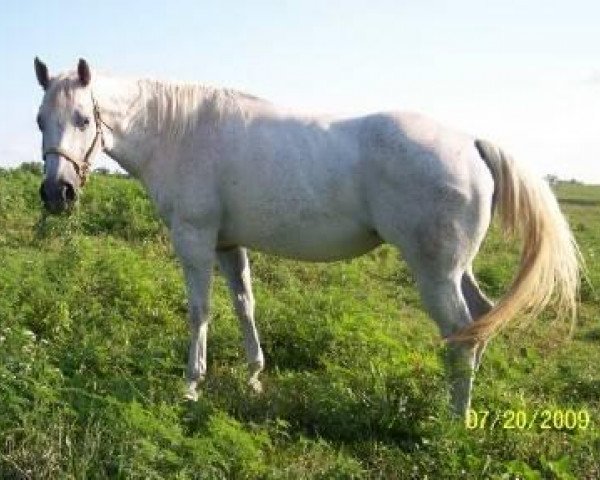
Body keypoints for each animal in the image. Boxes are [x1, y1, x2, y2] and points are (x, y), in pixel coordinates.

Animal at [35, 57, 580, 416]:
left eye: (82, 119)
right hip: (456, 269)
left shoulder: (194, 237)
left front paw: (191, 385)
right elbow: (244, 304)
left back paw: (454, 421)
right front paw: (254, 376)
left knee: (461, 333)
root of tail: (471, 142)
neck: (180, 131)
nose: (56, 193)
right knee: (482, 319)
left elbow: (199, 311)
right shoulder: (228, 244)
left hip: (435, 274)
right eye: (41, 120)